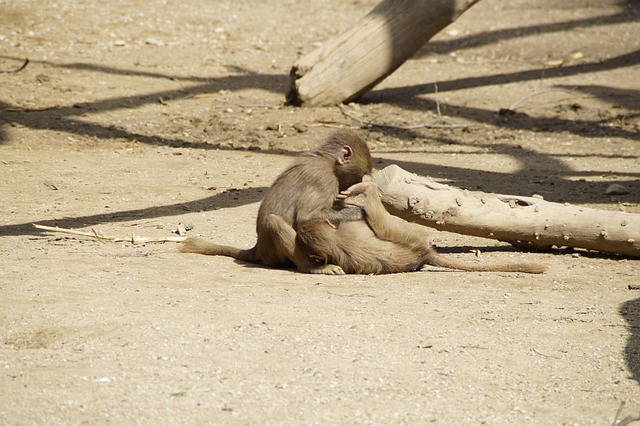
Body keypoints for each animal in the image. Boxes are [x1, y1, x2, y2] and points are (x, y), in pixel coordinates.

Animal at [178, 128, 372, 274]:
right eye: (358, 176)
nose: (348, 189)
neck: (328, 161)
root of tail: (258, 249)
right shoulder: (323, 179)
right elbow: (307, 217)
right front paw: (362, 210)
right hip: (273, 253)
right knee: (273, 222)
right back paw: (313, 267)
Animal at [292, 181, 548, 274]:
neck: (333, 241)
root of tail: (424, 254)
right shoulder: (351, 231)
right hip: (411, 236)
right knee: (381, 223)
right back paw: (367, 187)